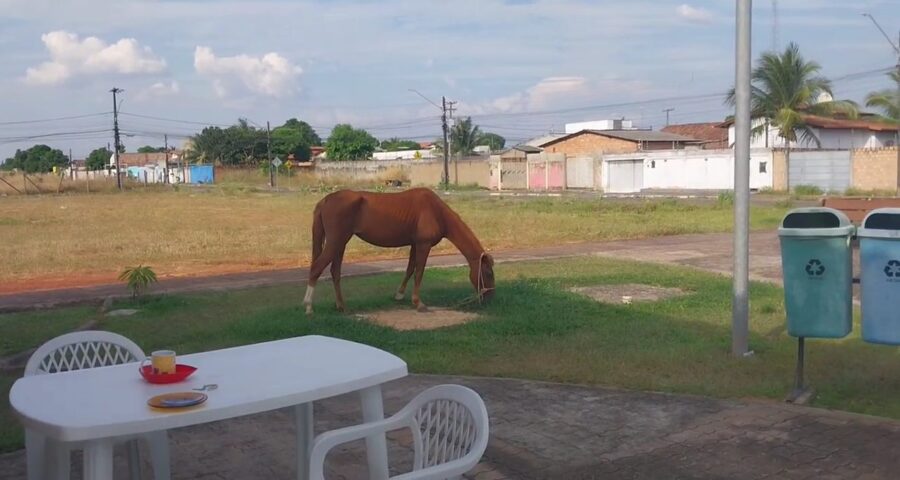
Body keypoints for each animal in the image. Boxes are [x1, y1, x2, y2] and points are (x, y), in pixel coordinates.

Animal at [306, 188, 496, 316]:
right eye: (487, 273)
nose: (490, 296)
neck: (436, 211)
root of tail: (325, 200)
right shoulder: (424, 245)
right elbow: (419, 272)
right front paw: (418, 303)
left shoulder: (415, 244)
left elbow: (410, 269)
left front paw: (399, 295)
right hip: (335, 242)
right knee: (316, 269)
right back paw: (308, 307)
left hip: (340, 244)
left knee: (335, 272)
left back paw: (341, 306)